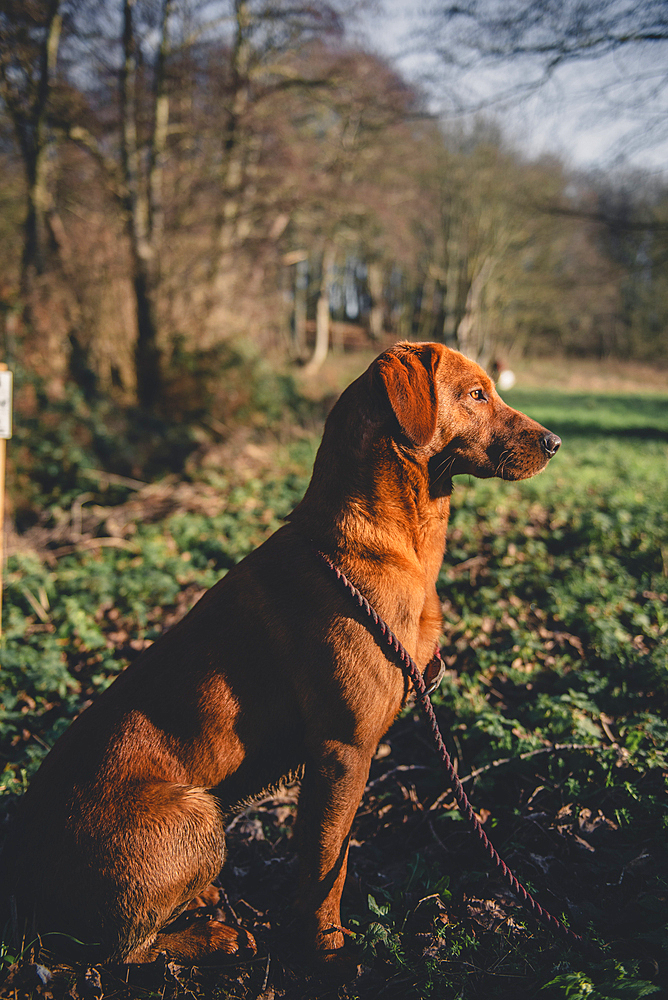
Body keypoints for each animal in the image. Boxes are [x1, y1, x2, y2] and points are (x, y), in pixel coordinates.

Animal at [1, 342, 560, 968]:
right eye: (477, 394)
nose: (555, 441)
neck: (388, 544)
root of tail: (22, 878)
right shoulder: (343, 753)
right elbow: (327, 862)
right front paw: (326, 948)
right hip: (199, 817)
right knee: (124, 950)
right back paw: (212, 935)